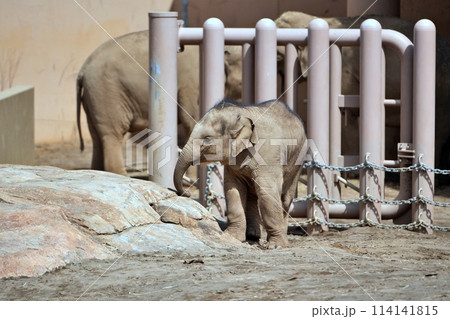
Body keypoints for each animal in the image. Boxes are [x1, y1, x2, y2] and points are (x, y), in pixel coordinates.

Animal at [76, 30, 243, 175]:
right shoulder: (191, 86)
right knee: (112, 135)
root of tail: (83, 70)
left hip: (93, 98)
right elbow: (192, 122)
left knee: (97, 137)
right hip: (107, 93)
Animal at [174, 100, 308, 250]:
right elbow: (233, 188)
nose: (186, 193)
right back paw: (253, 235)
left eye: (207, 139)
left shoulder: (269, 154)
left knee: (284, 198)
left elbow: (267, 191)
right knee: (252, 195)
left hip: (298, 159)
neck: (243, 114)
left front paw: (275, 246)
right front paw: (232, 236)